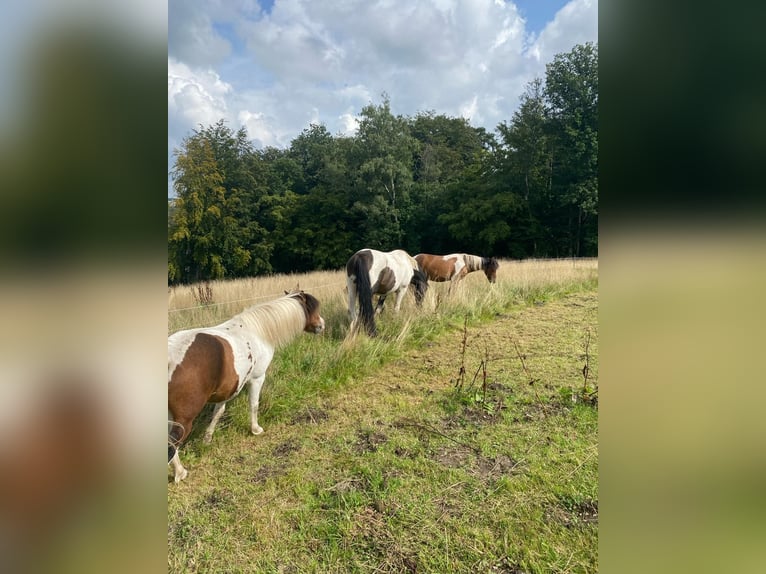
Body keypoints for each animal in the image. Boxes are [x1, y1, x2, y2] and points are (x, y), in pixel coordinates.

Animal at [166, 290, 326, 484]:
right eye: (312, 309)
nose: (321, 325)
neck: (257, 331)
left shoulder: (226, 390)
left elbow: (218, 412)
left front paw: (207, 438)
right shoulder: (257, 378)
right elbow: (254, 405)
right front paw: (256, 429)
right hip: (183, 420)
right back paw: (180, 472)